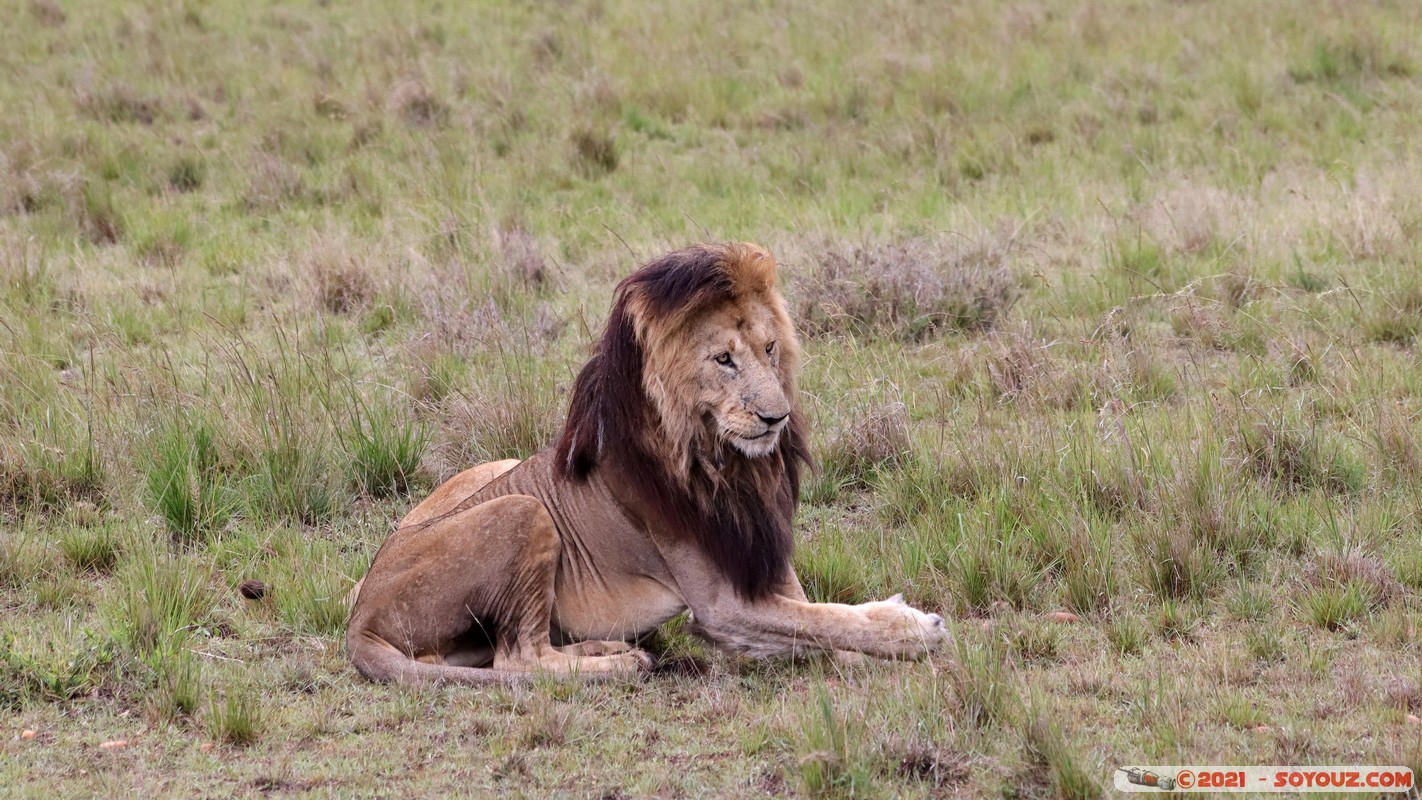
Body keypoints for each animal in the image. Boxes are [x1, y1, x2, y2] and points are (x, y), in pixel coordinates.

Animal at [342, 241, 944, 684]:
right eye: (723, 360)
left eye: (770, 348)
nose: (776, 417)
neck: (731, 466)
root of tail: (359, 618)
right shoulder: (721, 605)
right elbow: (822, 620)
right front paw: (915, 629)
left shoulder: (763, 558)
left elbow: (821, 620)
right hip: (521, 509)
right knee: (519, 658)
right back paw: (624, 660)